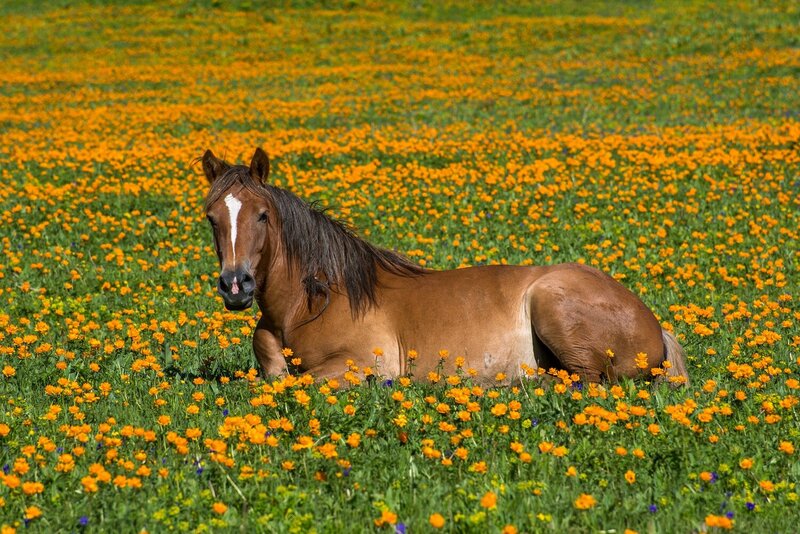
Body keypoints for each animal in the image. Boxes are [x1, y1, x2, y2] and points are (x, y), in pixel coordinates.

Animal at [201, 147, 689, 387]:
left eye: (262, 215)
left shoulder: (366, 364)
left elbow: (297, 383)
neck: (309, 304)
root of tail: (654, 324)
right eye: (211, 217)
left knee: (582, 380)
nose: (236, 285)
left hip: (551, 301)